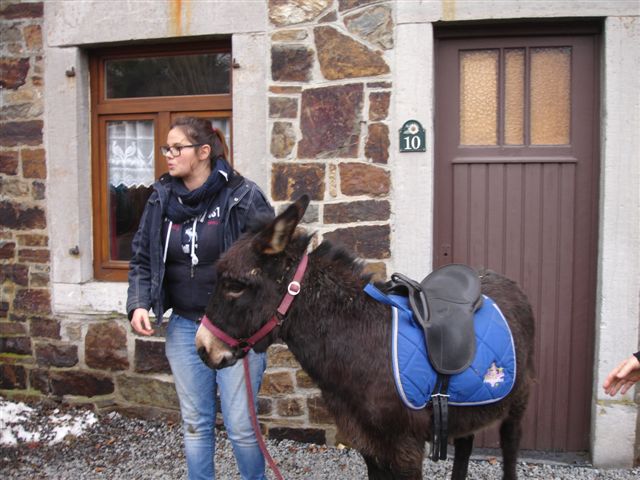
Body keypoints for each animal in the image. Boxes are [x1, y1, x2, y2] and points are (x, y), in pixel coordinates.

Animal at [196, 195, 535, 480]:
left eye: (235, 286)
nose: (202, 348)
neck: (359, 342)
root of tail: (506, 281)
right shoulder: (368, 443)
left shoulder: (404, 449)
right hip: (467, 409)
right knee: (464, 446)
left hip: (518, 402)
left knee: (510, 446)